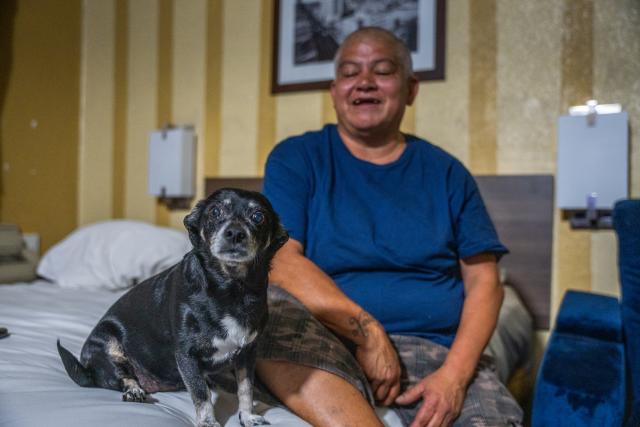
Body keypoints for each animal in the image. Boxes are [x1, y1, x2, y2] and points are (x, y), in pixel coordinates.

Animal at [57, 190, 288, 427]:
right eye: (215, 212)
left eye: (258, 217)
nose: (235, 233)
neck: (230, 289)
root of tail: (87, 368)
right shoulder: (187, 354)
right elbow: (201, 393)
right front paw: (207, 422)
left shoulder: (247, 355)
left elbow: (246, 389)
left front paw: (248, 416)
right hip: (108, 344)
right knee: (123, 376)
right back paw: (134, 389)